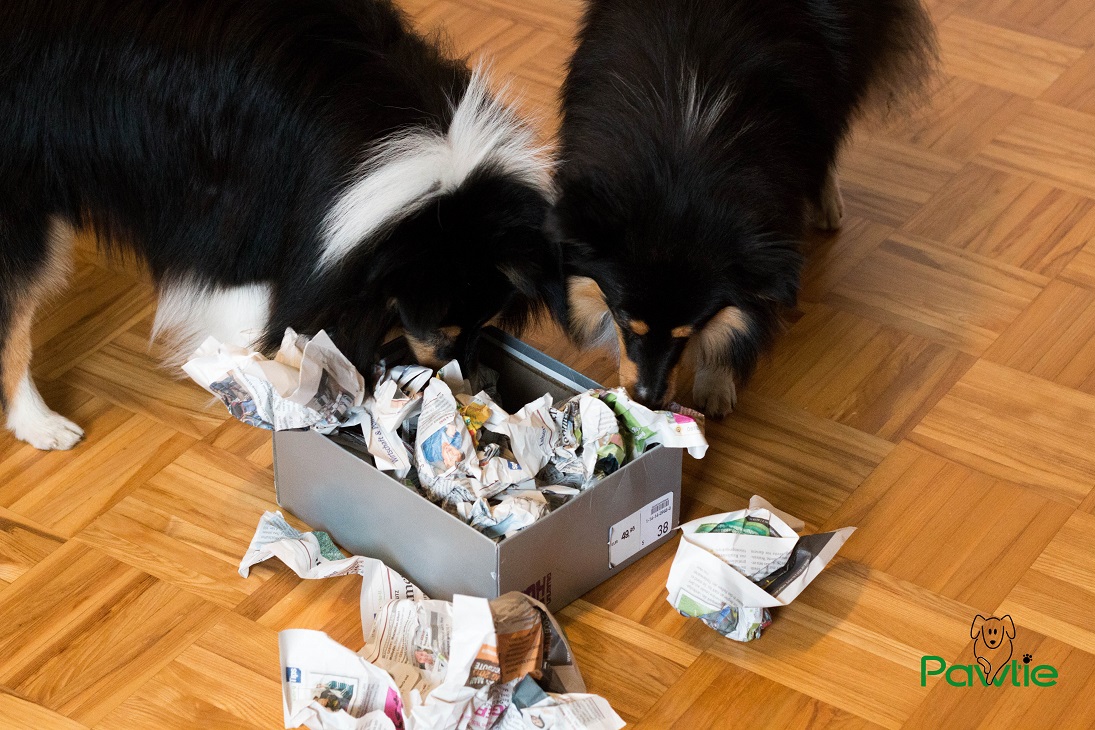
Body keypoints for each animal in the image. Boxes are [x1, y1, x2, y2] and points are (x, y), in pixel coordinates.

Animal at [0, 0, 560, 450]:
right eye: (439, 337)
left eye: (484, 328)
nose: (481, 398)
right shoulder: (237, 229)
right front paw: (275, 384)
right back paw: (40, 423)